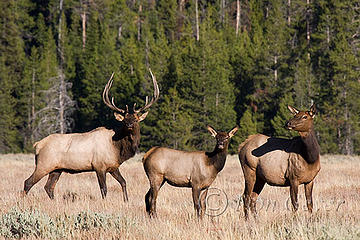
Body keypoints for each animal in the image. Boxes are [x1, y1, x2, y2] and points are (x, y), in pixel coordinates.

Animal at [23, 69, 159, 201]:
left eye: (135, 119)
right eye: (124, 120)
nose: (130, 125)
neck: (118, 149)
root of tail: (37, 145)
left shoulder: (113, 167)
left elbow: (124, 182)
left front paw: (126, 201)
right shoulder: (99, 166)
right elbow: (104, 189)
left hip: (56, 169)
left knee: (49, 187)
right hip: (43, 164)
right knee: (28, 182)